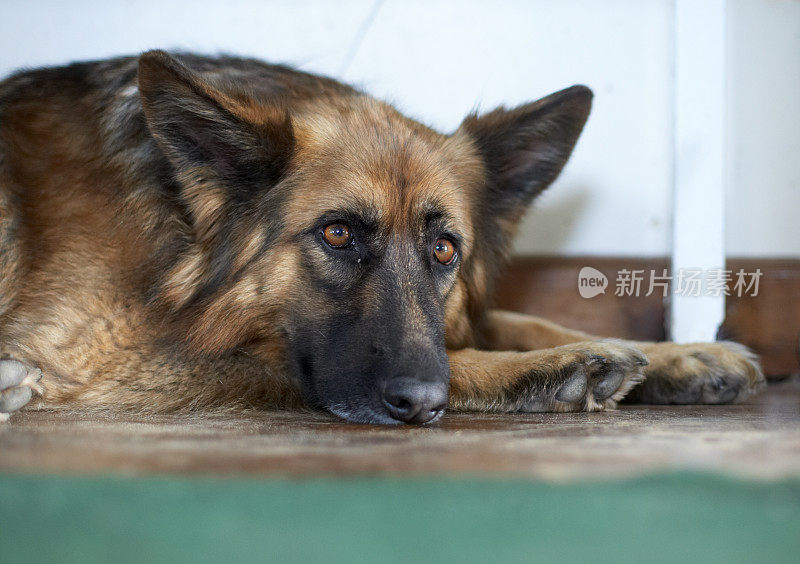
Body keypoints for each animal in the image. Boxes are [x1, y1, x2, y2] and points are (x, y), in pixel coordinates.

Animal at [0, 51, 764, 424]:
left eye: (444, 250)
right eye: (337, 234)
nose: (421, 403)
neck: (180, 242)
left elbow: (517, 318)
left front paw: (682, 356)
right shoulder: (110, 363)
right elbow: (460, 354)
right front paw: (562, 368)